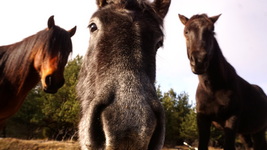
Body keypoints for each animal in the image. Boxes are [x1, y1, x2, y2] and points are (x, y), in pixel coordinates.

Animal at [179, 13, 267, 150]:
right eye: (186, 31)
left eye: (212, 30)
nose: (199, 61)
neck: (213, 89)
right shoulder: (203, 118)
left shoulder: (232, 118)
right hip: (245, 132)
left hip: (259, 131)